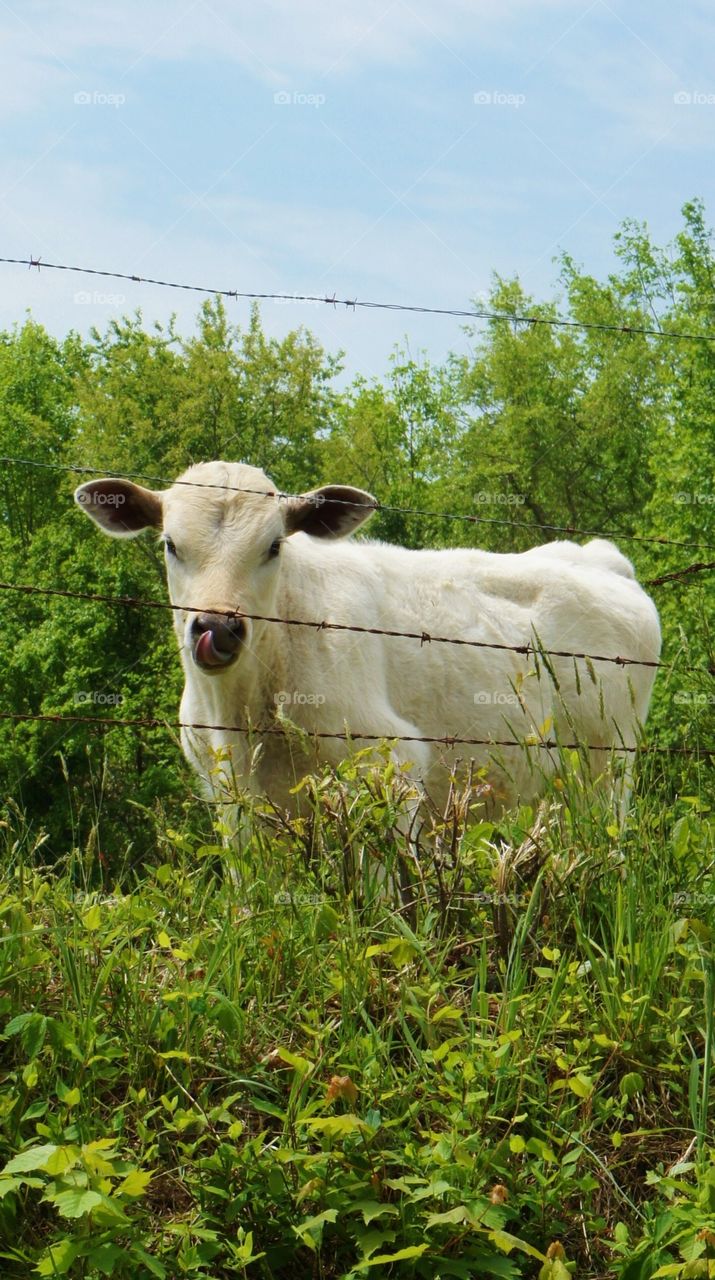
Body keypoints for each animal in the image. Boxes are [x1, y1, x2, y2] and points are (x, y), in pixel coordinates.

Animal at [75, 461, 661, 822]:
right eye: (171, 545)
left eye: (274, 547)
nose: (217, 629)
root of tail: (597, 558)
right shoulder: (230, 799)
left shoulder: (392, 766)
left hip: (608, 767)